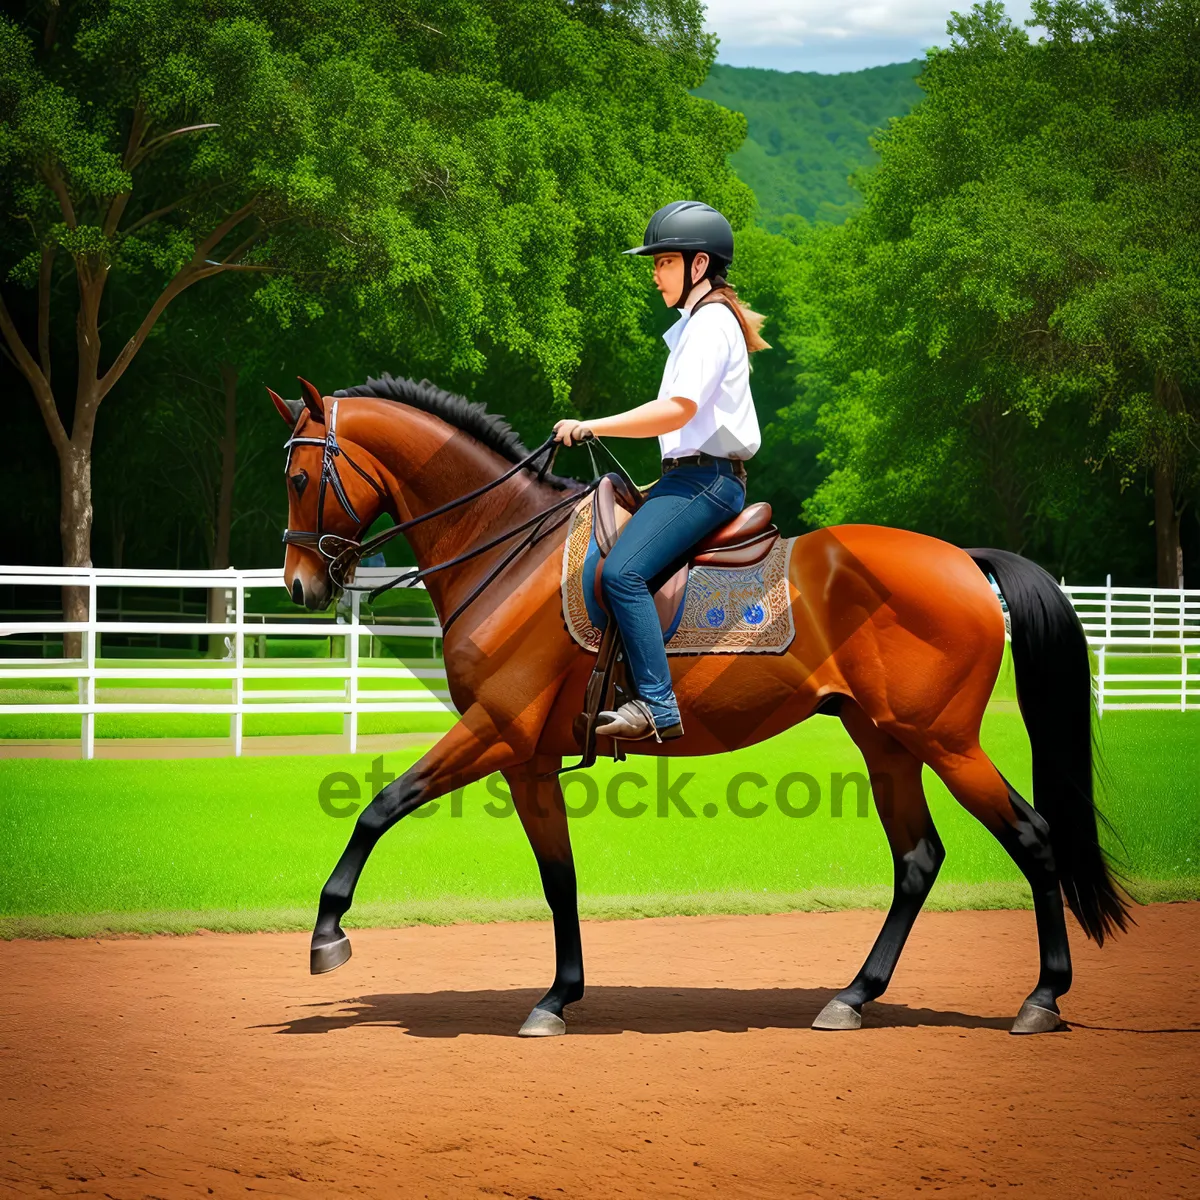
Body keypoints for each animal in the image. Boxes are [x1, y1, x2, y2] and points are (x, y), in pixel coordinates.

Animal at [272, 376, 1123, 1041]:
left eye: (301, 479)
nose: (300, 586)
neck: (509, 548)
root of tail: (963, 558)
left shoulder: (496, 730)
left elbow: (381, 805)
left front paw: (328, 930)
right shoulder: (530, 758)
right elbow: (559, 878)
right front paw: (558, 997)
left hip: (944, 741)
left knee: (1032, 837)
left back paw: (1042, 997)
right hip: (886, 743)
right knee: (917, 860)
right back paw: (853, 997)